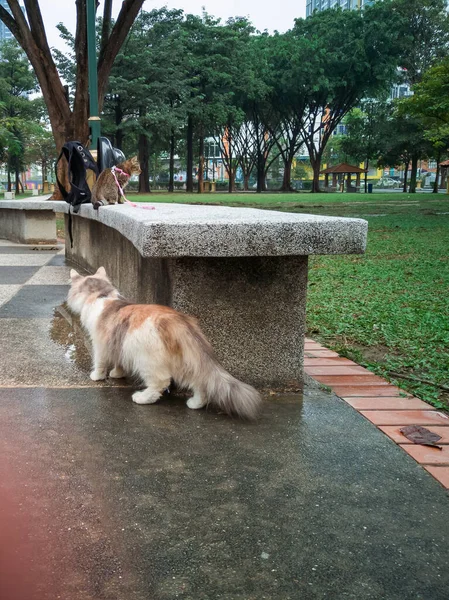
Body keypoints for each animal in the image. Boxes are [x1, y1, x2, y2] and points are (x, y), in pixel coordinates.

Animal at [68, 270, 260, 420]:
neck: (102, 295)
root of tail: (176, 320)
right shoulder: (118, 343)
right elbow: (119, 361)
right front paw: (117, 373)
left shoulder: (100, 343)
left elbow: (100, 362)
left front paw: (98, 376)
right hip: (185, 362)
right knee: (200, 383)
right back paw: (196, 403)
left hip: (147, 361)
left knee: (160, 383)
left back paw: (142, 398)